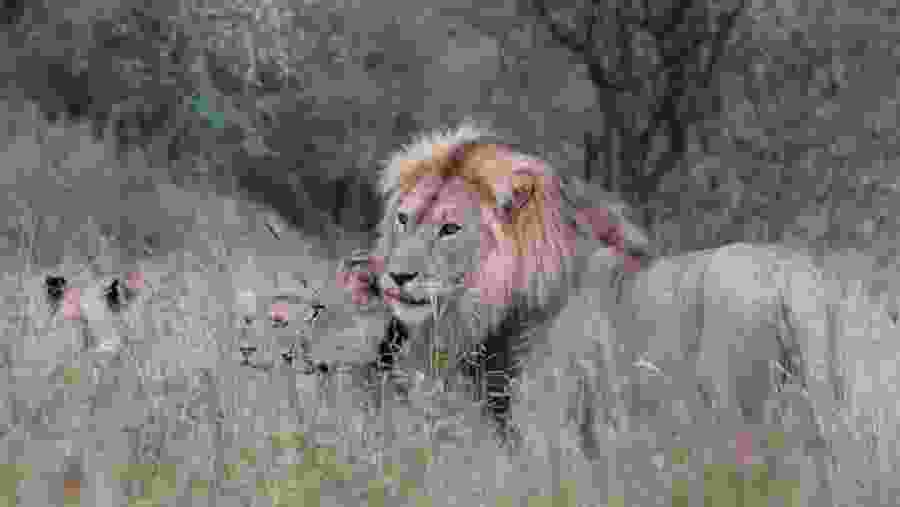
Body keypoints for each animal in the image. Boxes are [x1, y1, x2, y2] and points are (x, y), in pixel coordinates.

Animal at [338, 121, 866, 502]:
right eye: (403, 219)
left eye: (449, 228)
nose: (396, 277)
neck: (501, 307)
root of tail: (795, 278)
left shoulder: (554, 440)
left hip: (735, 417)